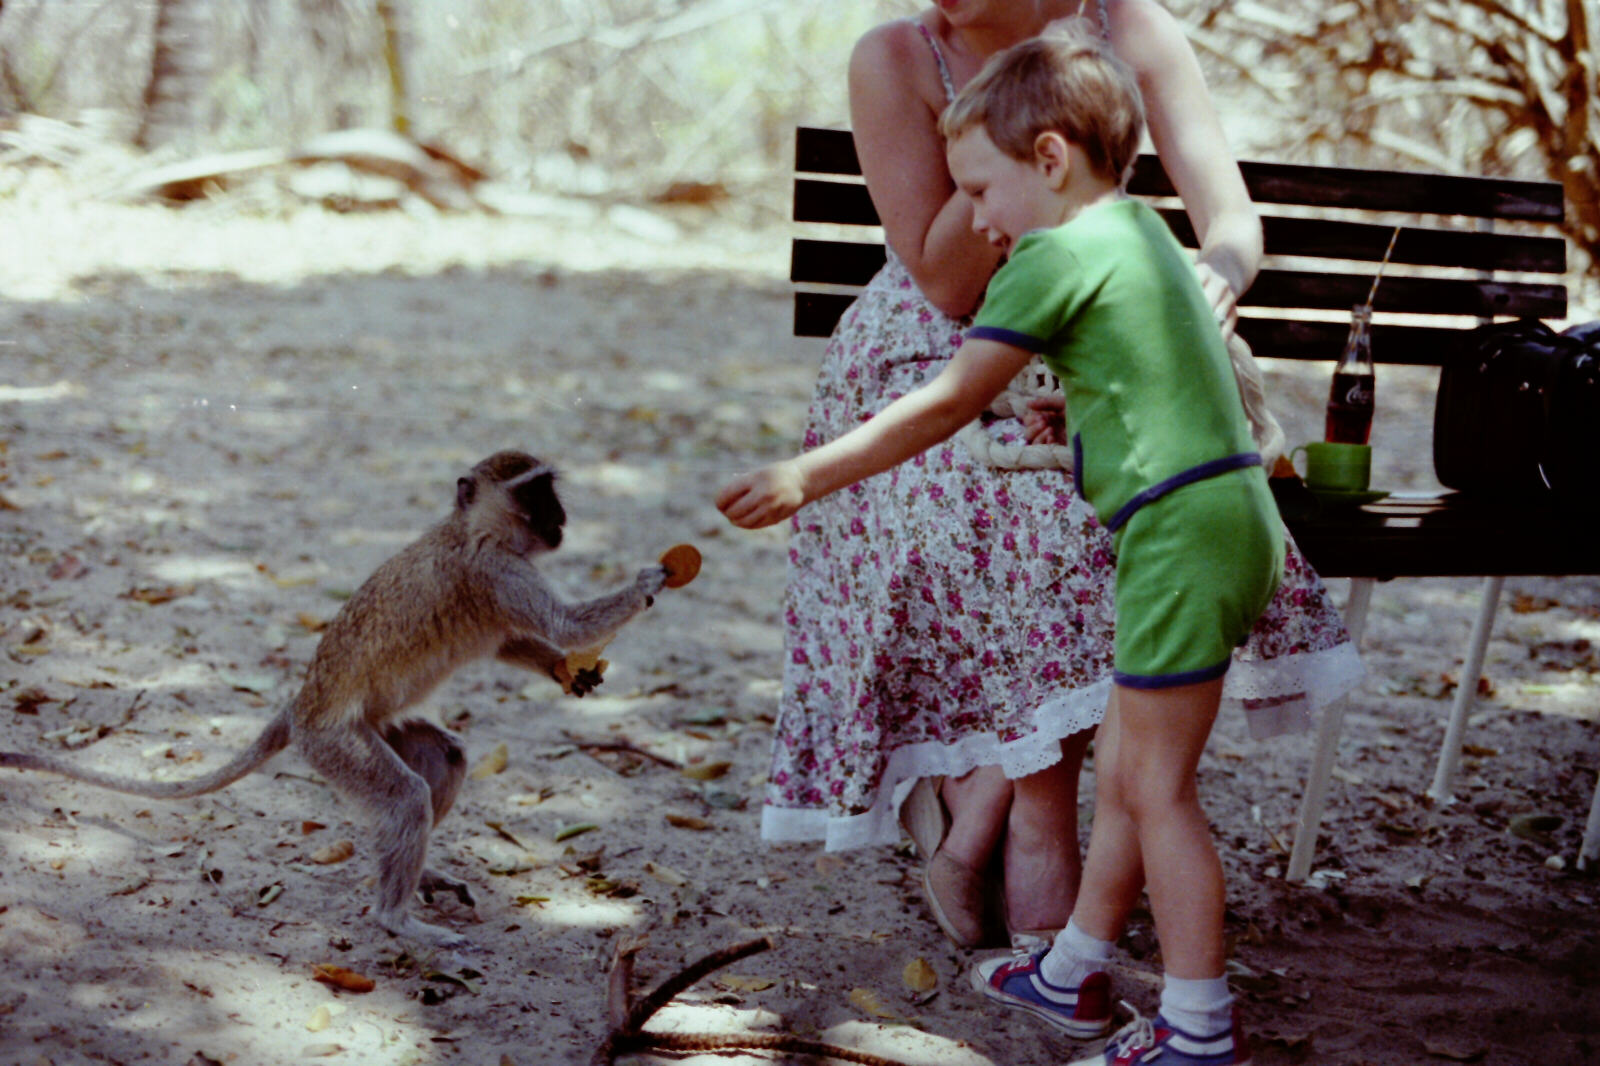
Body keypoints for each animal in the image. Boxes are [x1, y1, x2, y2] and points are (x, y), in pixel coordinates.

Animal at [0, 444, 662, 941]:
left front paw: (565, 670)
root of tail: (300, 706)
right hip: (333, 744)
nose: (560, 516)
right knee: (405, 800)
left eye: (549, 487)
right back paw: (395, 917)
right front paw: (649, 582)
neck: (472, 530)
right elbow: (565, 625)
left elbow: (517, 642)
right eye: (533, 492)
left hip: (373, 730)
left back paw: (420, 876)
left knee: (443, 760)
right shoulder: (497, 573)